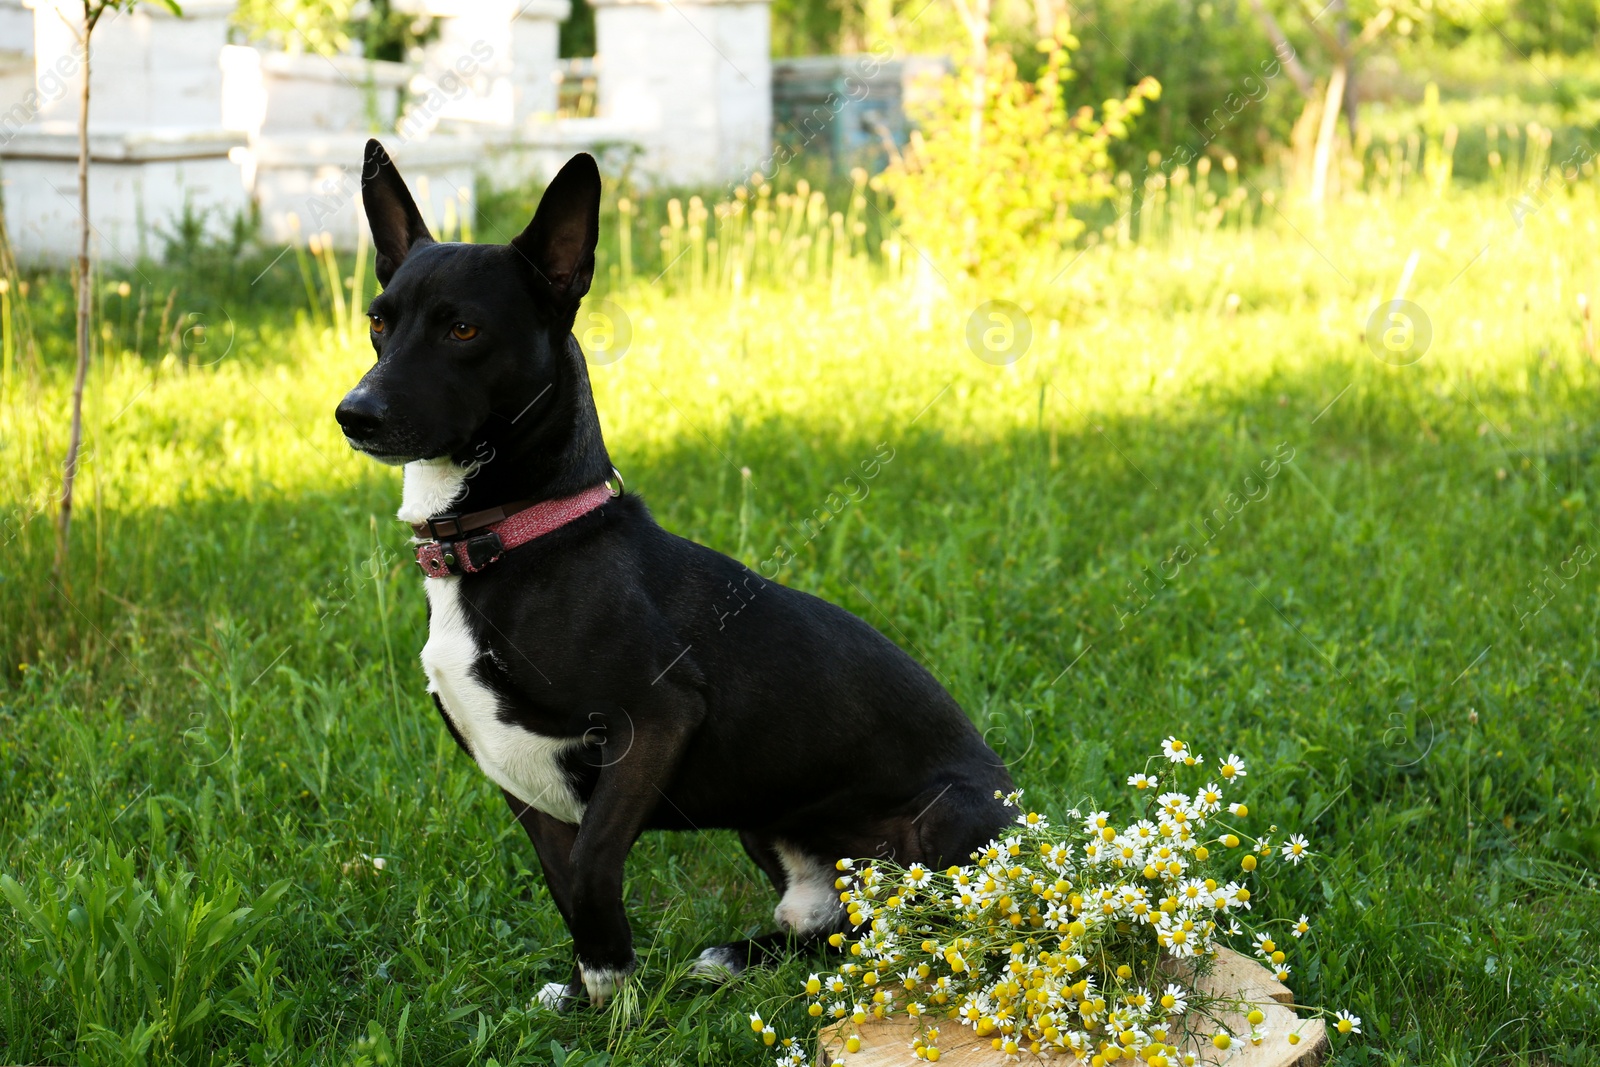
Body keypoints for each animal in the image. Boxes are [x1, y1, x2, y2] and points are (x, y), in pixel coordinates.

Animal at [337, 139, 1011, 1011]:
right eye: (378, 321)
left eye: (463, 328)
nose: (355, 413)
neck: (517, 537)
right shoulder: (523, 784)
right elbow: (567, 884)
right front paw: (594, 999)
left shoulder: (653, 719)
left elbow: (594, 863)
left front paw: (618, 995)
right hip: (766, 813)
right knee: (830, 931)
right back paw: (737, 958)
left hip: (944, 823)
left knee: (898, 938)